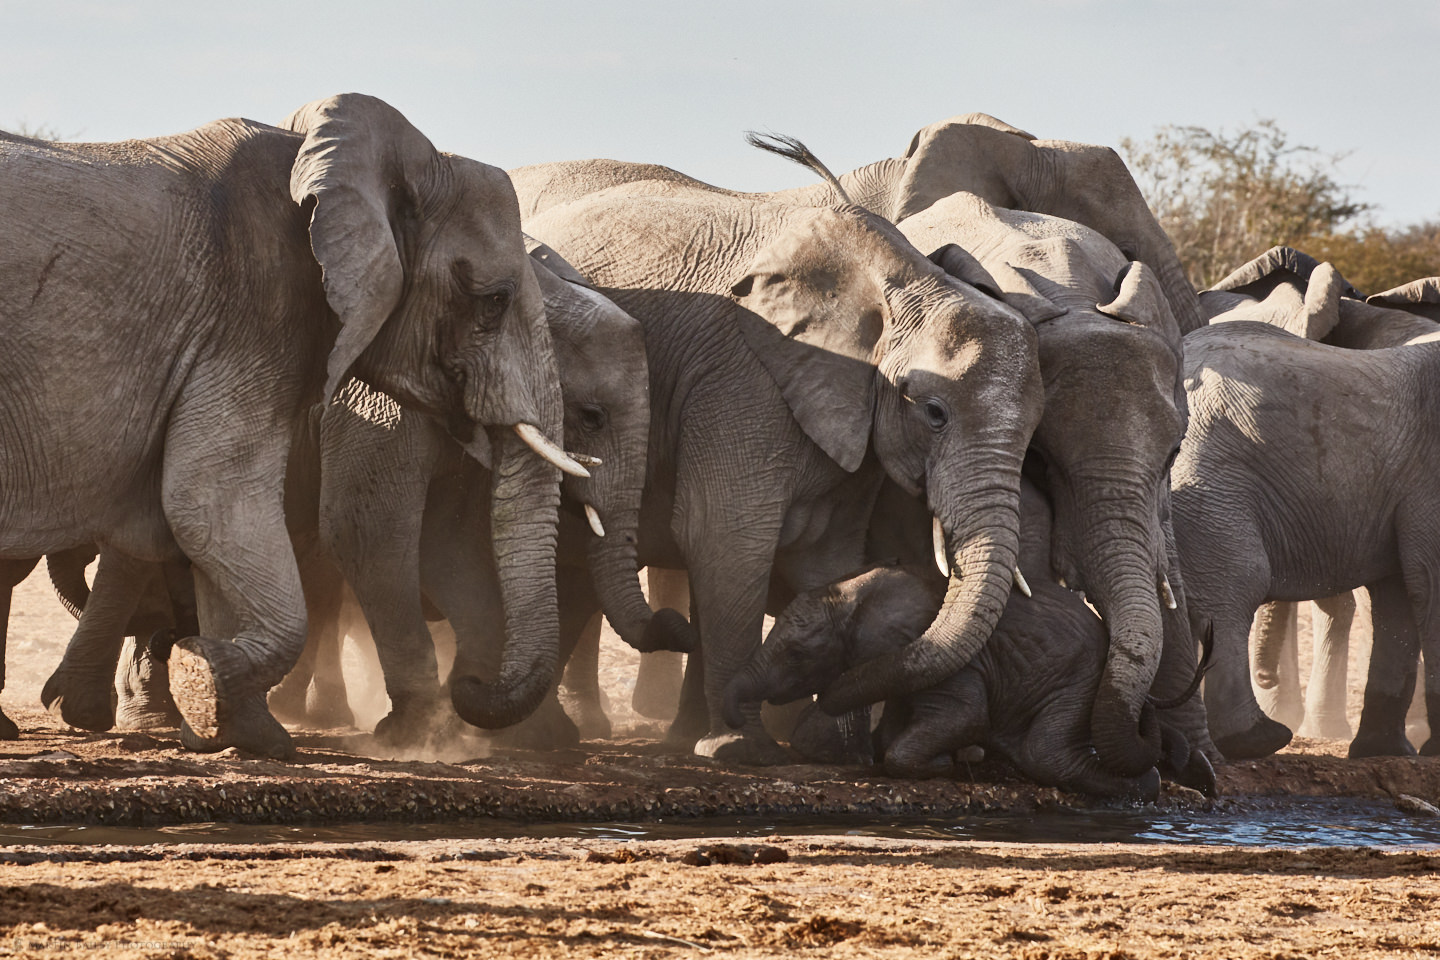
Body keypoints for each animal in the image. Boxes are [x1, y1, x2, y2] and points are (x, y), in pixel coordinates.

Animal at [0, 95, 573, 759]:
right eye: (495, 300)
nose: (474, 686)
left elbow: (205, 526)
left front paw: (244, 733)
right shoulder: (253, 310)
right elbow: (208, 505)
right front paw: (204, 679)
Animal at [518, 157, 1048, 759]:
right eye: (934, 412)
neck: (902, 278)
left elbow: (829, 559)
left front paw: (832, 751)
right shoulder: (744, 377)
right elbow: (725, 535)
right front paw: (739, 751)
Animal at [892, 191, 1209, 777]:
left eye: (1175, 453)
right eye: (1037, 459)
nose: (1159, 743)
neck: (1067, 289)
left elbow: (1165, 567)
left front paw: (1200, 767)